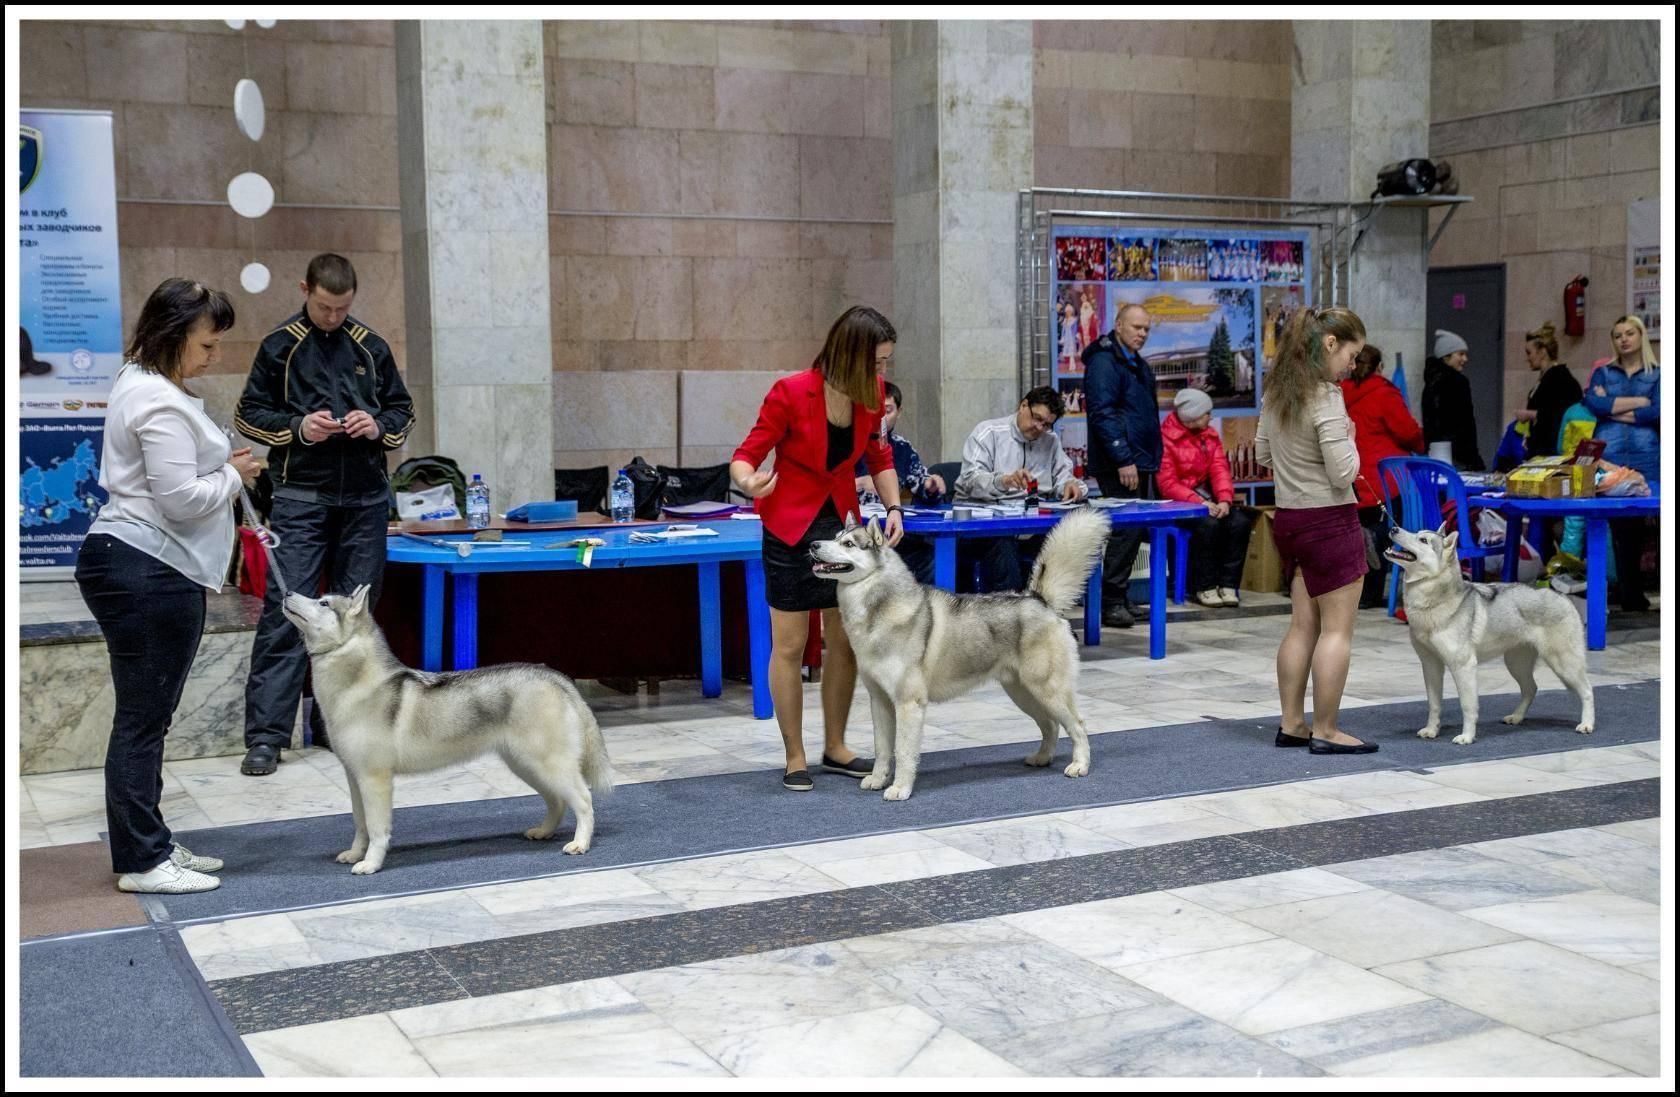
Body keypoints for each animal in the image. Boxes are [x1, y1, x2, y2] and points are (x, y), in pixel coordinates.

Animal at [282, 584, 618, 880]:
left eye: (324, 603)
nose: (285, 592)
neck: (354, 686)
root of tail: (554, 676)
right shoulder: (354, 777)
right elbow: (360, 823)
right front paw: (355, 854)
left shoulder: (375, 780)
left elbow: (377, 828)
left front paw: (371, 863)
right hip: (526, 766)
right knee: (558, 802)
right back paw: (544, 832)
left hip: (547, 764)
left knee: (583, 800)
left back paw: (580, 843)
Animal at [813, 503, 1115, 796]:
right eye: (835, 537)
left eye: (848, 543)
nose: (814, 545)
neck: (876, 612)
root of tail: (1039, 599)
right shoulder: (880, 701)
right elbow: (883, 750)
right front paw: (878, 780)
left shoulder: (909, 703)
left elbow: (903, 751)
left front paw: (900, 788)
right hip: (1023, 692)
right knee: (1050, 725)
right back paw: (1042, 758)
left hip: (1047, 690)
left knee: (1078, 726)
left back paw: (1080, 765)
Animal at [1384, 520, 1592, 745]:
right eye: (1417, 533)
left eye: (1423, 540)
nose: (1393, 529)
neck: (1434, 602)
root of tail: (1561, 596)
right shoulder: (1431, 665)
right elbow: (1434, 704)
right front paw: (1432, 730)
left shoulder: (1464, 667)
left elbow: (1468, 706)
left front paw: (1467, 737)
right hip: (1516, 663)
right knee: (1531, 688)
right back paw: (1516, 717)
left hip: (1563, 664)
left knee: (1587, 690)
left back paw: (1587, 724)